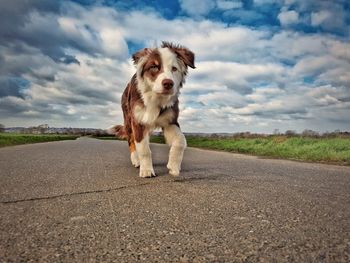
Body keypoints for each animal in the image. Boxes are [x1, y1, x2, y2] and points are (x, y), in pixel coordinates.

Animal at [109, 42, 196, 179]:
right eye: (154, 67)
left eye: (174, 69)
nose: (168, 83)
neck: (155, 98)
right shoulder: (138, 121)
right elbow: (144, 149)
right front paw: (146, 170)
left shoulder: (170, 122)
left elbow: (181, 141)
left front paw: (173, 167)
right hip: (128, 120)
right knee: (131, 141)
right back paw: (136, 160)